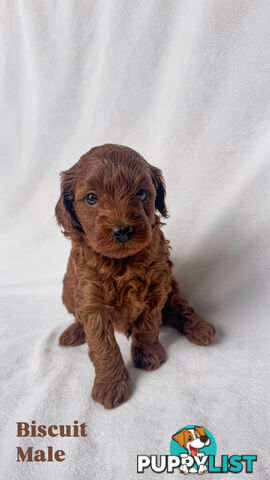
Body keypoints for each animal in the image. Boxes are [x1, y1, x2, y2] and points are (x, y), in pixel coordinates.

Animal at [55, 143, 215, 408]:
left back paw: (200, 328)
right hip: (67, 291)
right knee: (78, 316)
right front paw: (110, 385)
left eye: (141, 194)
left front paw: (148, 354)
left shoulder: (156, 288)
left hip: (172, 288)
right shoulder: (92, 301)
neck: (122, 264)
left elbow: (148, 326)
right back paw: (74, 333)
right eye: (91, 198)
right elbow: (103, 346)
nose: (122, 230)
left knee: (179, 309)